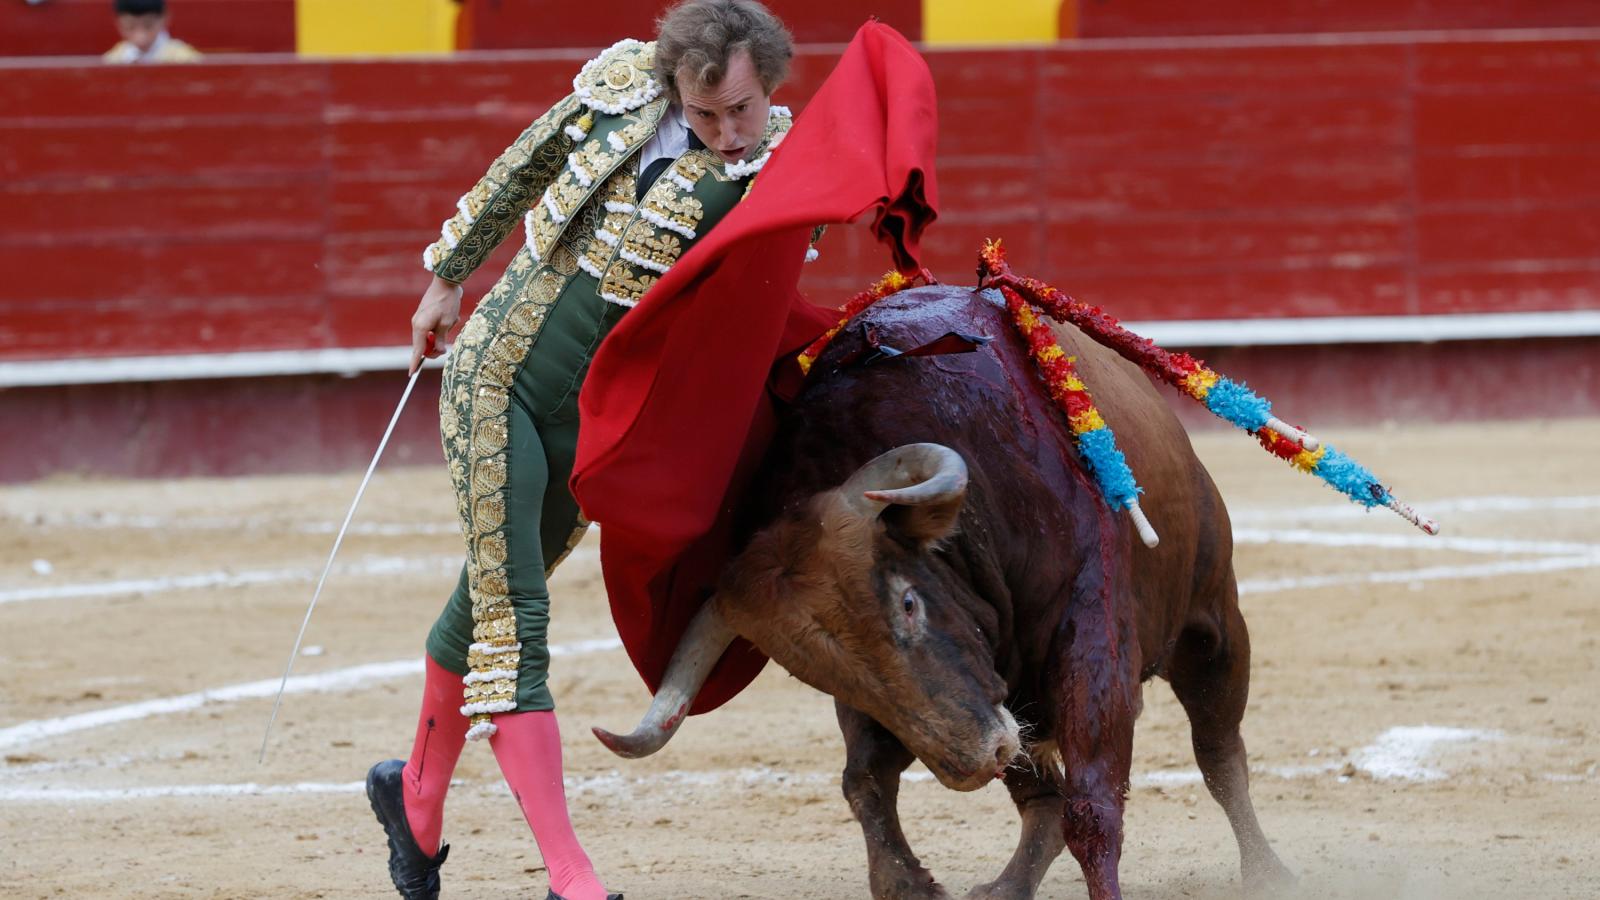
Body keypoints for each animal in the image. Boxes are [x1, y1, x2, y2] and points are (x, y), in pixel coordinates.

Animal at [595, 285, 1292, 896]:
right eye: (812, 672)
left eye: (910, 602)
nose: (975, 758)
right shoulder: (920, 705)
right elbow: (864, 782)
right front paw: (909, 884)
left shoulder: (1093, 646)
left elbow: (1094, 805)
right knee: (1042, 797)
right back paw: (1008, 886)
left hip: (1212, 626)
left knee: (1219, 756)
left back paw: (1267, 873)